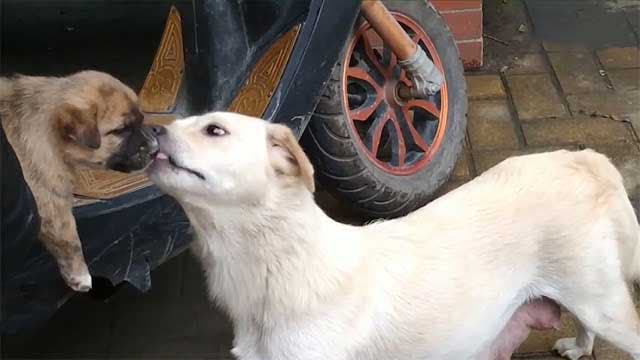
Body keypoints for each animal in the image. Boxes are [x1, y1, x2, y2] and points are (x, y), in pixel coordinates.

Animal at [0, 69, 158, 290]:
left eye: (141, 120)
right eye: (120, 130)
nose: (155, 148)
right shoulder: (51, 202)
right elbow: (70, 241)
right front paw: (81, 277)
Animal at [146, 112, 640, 360]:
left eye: (215, 130)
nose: (147, 128)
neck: (275, 264)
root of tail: (581, 157)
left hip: (602, 303)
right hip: (586, 295)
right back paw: (579, 348)